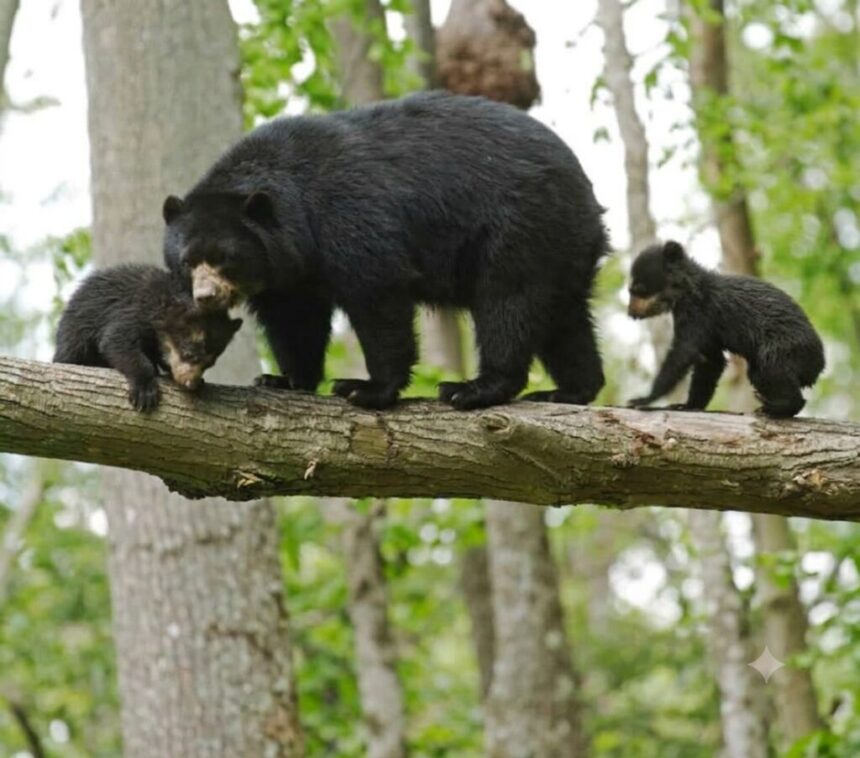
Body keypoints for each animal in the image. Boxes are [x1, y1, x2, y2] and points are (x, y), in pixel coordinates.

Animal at [54, 264, 243, 412]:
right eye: (189, 354)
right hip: (76, 334)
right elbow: (117, 341)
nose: (191, 384)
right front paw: (145, 392)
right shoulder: (135, 309)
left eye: (210, 364)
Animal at [162, 91, 609, 410]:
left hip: (520, 226)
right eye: (188, 261)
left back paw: (473, 389)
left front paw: (365, 389)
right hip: (561, 244)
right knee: (564, 317)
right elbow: (294, 317)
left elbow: (377, 295)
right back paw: (569, 391)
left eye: (225, 258)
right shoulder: (287, 272)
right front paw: (283, 379)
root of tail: (585, 188)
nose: (205, 297)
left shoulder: (348, 217)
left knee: (508, 301)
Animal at [626, 240, 825, 417]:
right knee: (759, 375)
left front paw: (642, 399)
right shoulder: (708, 332)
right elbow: (711, 362)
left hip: (781, 347)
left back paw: (772, 406)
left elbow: (683, 352)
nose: (631, 313)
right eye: (632, 290)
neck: (686, 292)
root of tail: (818, 365)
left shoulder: (700, 314)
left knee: (773, 371)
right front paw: (687, 405)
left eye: (638, 289)